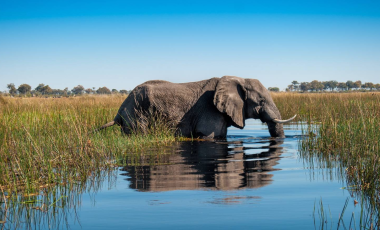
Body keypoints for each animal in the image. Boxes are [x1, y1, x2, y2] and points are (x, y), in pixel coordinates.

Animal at [99, 76, 296, 139]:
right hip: (136, 114)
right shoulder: (210, 110)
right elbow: (211, 136)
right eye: (261, 101)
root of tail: (119, 112)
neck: (239, 78)